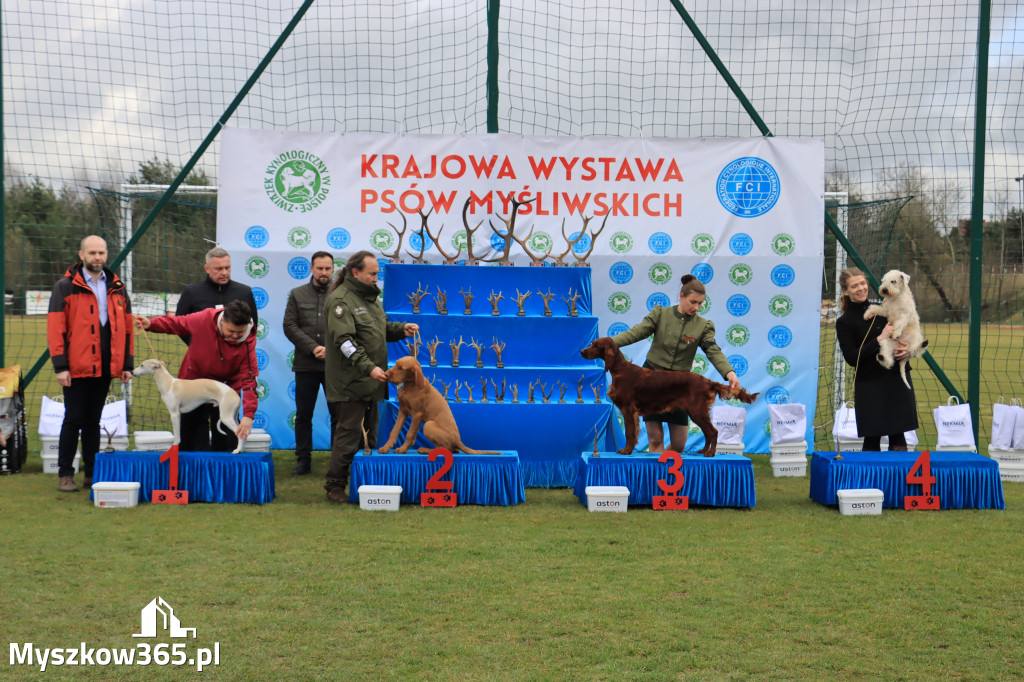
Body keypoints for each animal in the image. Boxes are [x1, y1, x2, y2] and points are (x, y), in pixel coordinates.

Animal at [581, 335, 757, 454]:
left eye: (595, 345)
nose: (582, 351)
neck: (620, 370)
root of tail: (708, 381)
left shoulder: (628, 409)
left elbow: (630, 432)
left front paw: (626, 450)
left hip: (697, 411)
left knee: (713, 431)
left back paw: (711, 453)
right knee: (708, 432)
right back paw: (703, 451)